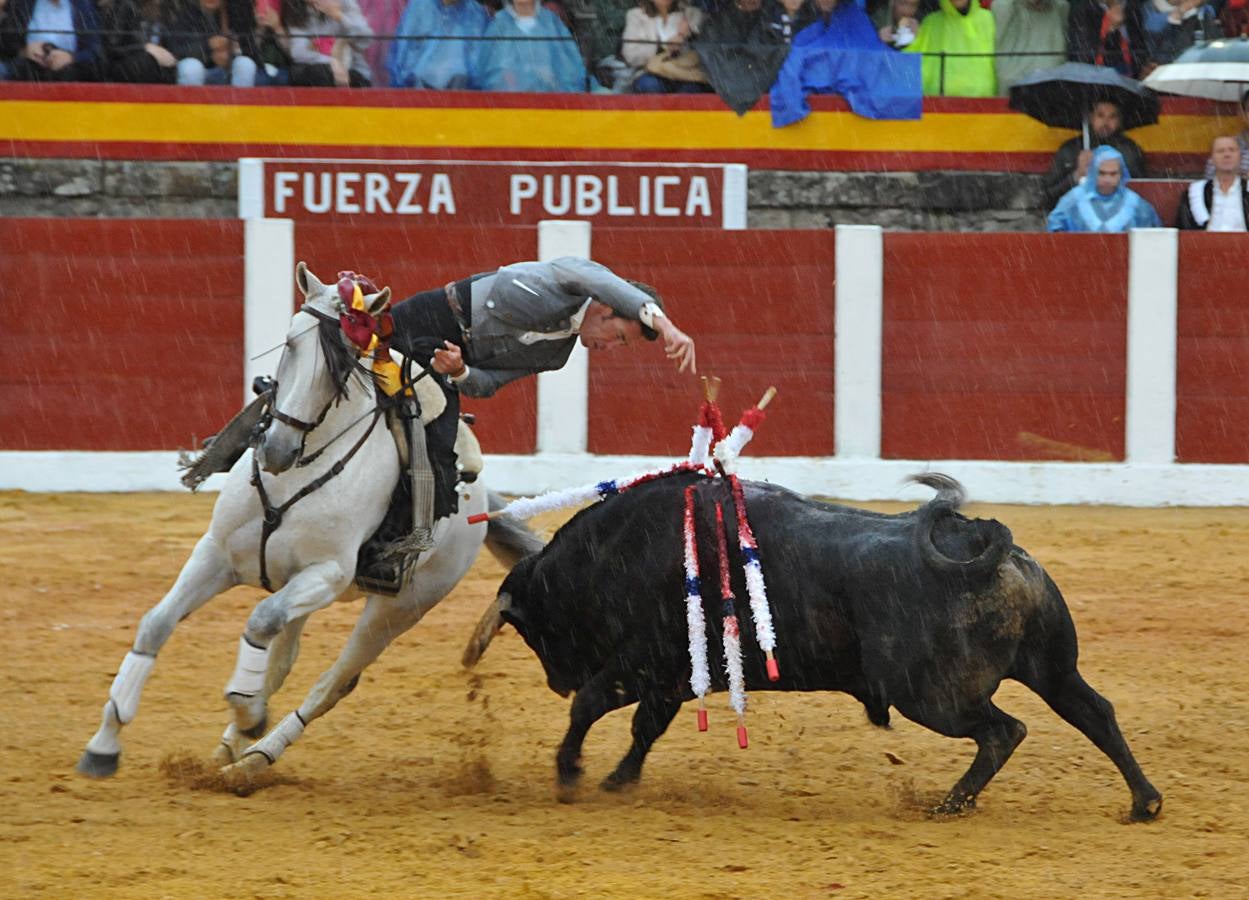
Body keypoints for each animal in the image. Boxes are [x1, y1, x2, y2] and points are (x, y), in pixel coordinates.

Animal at [78, 262, 537, 778]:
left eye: (342, 364)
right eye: (290, 342)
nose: (276, 449)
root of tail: (480, 494)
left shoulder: (329, 574)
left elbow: (259, 621)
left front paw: (249, 711)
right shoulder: (216, 553)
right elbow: (156, 624)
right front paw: (104, 744)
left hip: (403, 605)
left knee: (333, 680)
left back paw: (255, 758)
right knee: (282, 658)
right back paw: (232, 751)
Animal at [494, 469, 1159, 823]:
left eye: (535, 630)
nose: (554, 677)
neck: (614, 552)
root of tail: (976, 540)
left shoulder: (642, 665)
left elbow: (593, 706)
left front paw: (570, 773)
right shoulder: (674, 680)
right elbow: (643, 729)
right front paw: (618, 780)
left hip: (932, 697)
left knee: (1004, 731)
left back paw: (949, 804)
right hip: (1051, 666)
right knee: (1093, 712)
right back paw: (1145, 801)